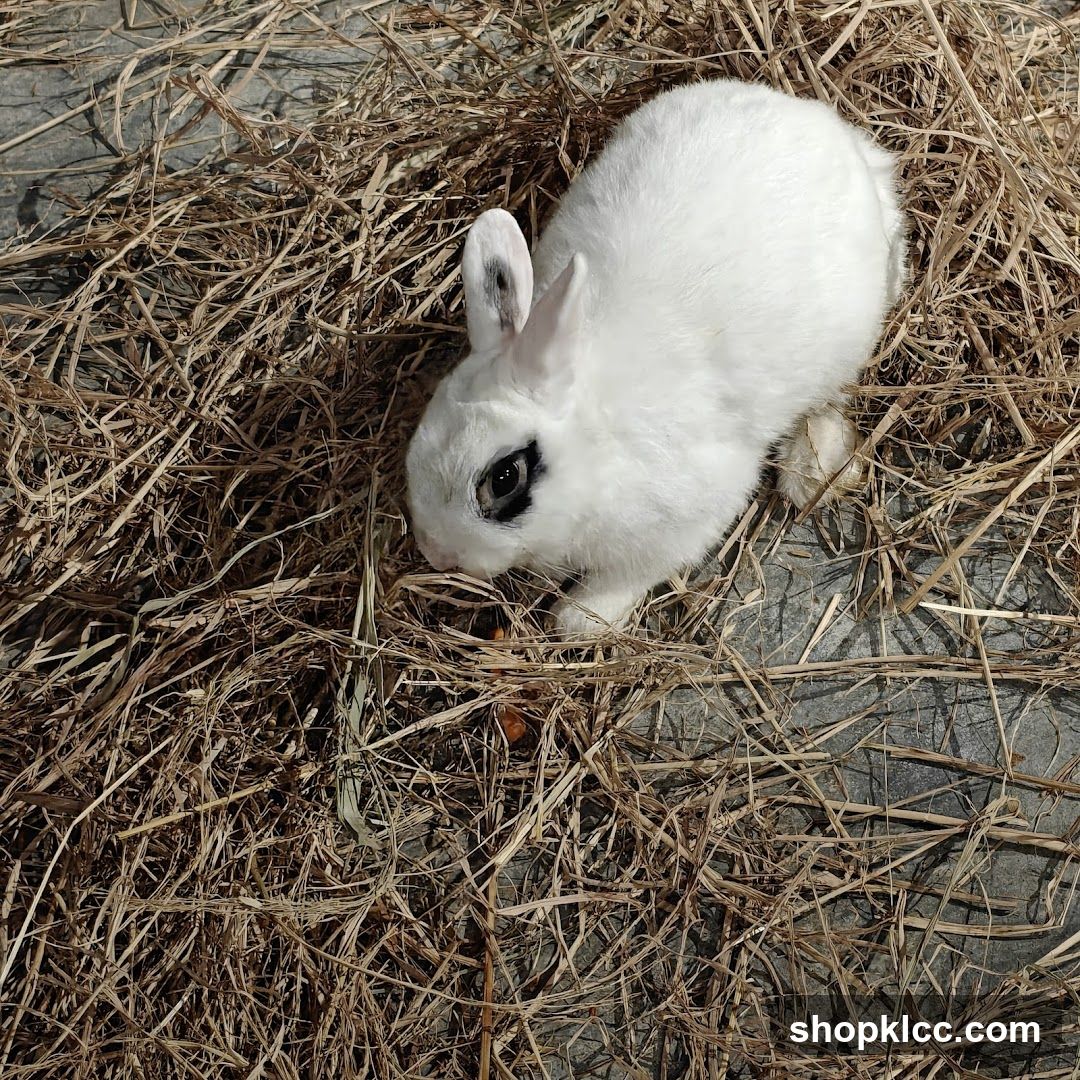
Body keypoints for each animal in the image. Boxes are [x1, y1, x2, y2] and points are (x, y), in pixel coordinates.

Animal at [406, 78, 907, 638]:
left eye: (504, 478)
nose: (438, 553)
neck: (596, 444)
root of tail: (839, 135)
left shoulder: (685, 520)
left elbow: (633, 574)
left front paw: (580, 620)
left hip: (849, 339)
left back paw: (809, 472)